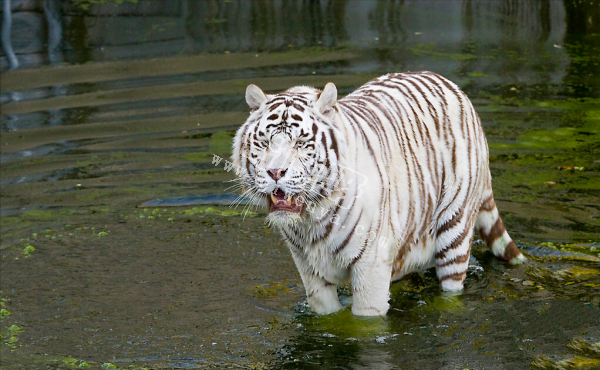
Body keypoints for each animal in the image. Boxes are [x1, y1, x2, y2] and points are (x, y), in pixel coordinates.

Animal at [232, 73, 524, 318]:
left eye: (301, 144)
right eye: (264, 143)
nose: (275, 172)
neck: (311, 219)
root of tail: (453, 86)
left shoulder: (371, 263)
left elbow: (366, 322)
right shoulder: (308, 268)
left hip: (455, 231)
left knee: (451, 288)